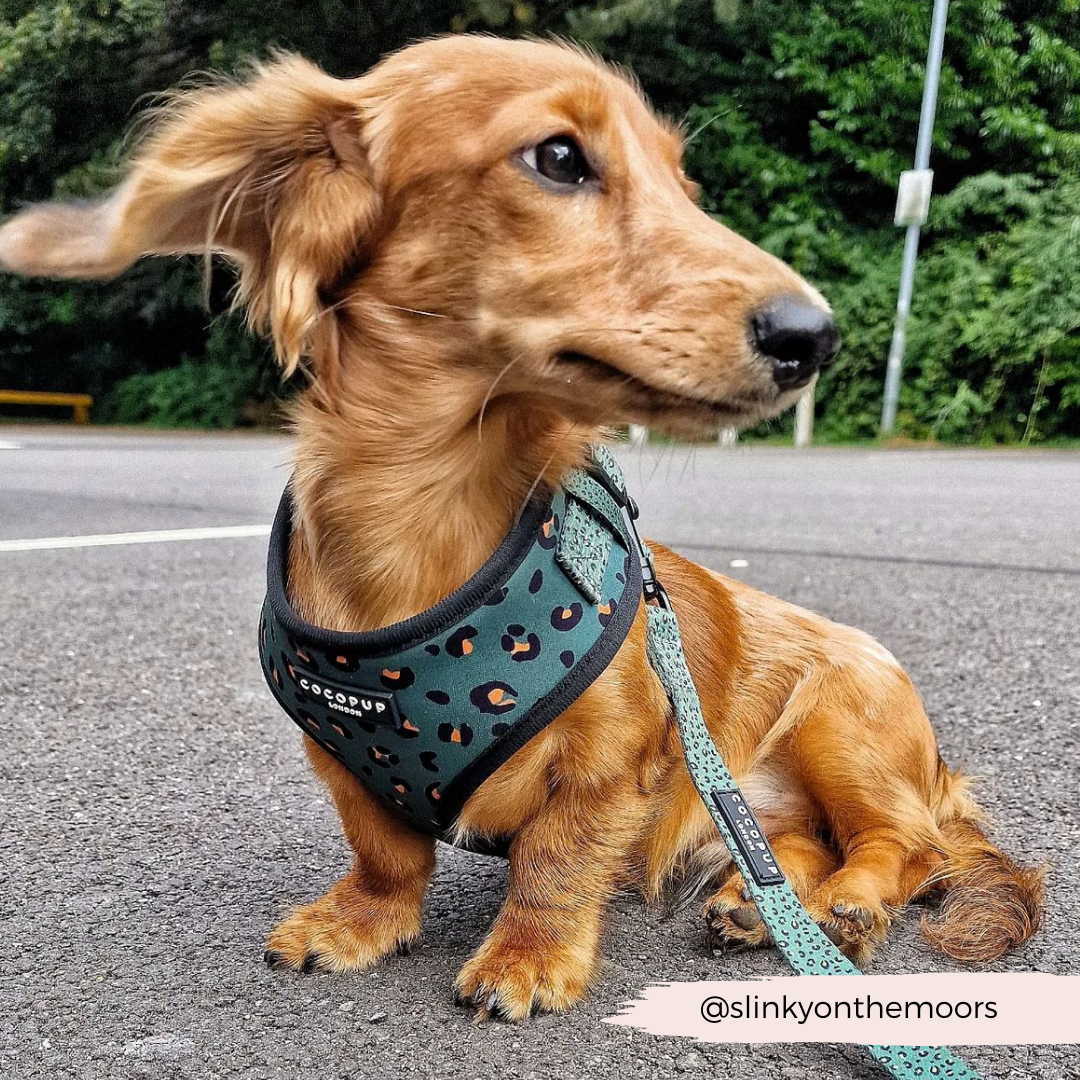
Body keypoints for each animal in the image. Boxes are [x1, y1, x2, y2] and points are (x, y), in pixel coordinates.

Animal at [2, 35, 1045, 1019]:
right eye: (558, 157)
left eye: (682, 185)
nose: (814, 338)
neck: (431, 513)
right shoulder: (337, 755)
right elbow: (385, 852)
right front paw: (361, 921)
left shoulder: (610, 762)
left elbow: (556, 860)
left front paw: (528, 959)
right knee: (789, 840)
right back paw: (762, 906)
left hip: (843, 722)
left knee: (900, 842)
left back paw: (848, 908)